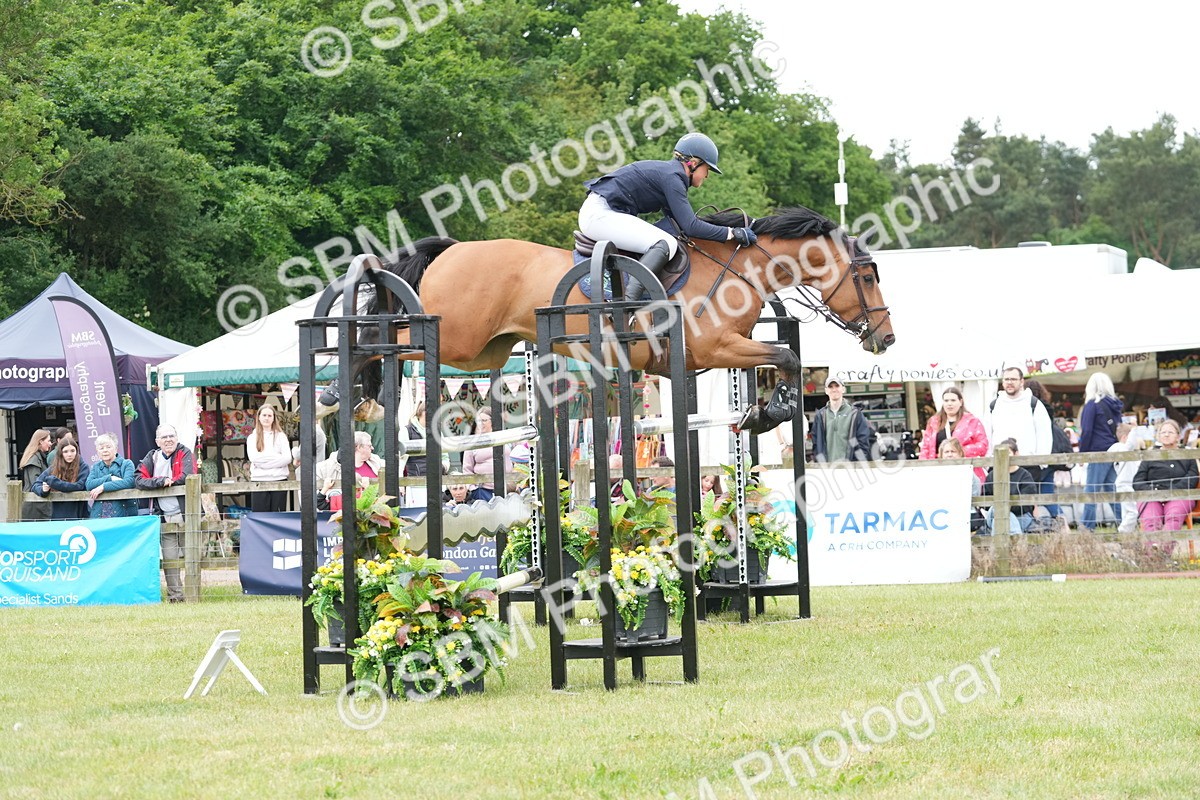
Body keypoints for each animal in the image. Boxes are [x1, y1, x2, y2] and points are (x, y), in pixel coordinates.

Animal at [373, 206, 893, 435]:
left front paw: (763, 414)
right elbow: (784, 357)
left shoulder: (723, 351)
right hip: (458, 338)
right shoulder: (716, 346)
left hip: (486, 349)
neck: (738, 269)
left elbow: (779, 360)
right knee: (394, 337)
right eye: (868, 277)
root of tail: (452, 250)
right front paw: (772, 414)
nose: (886, 338)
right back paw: (371, 394)